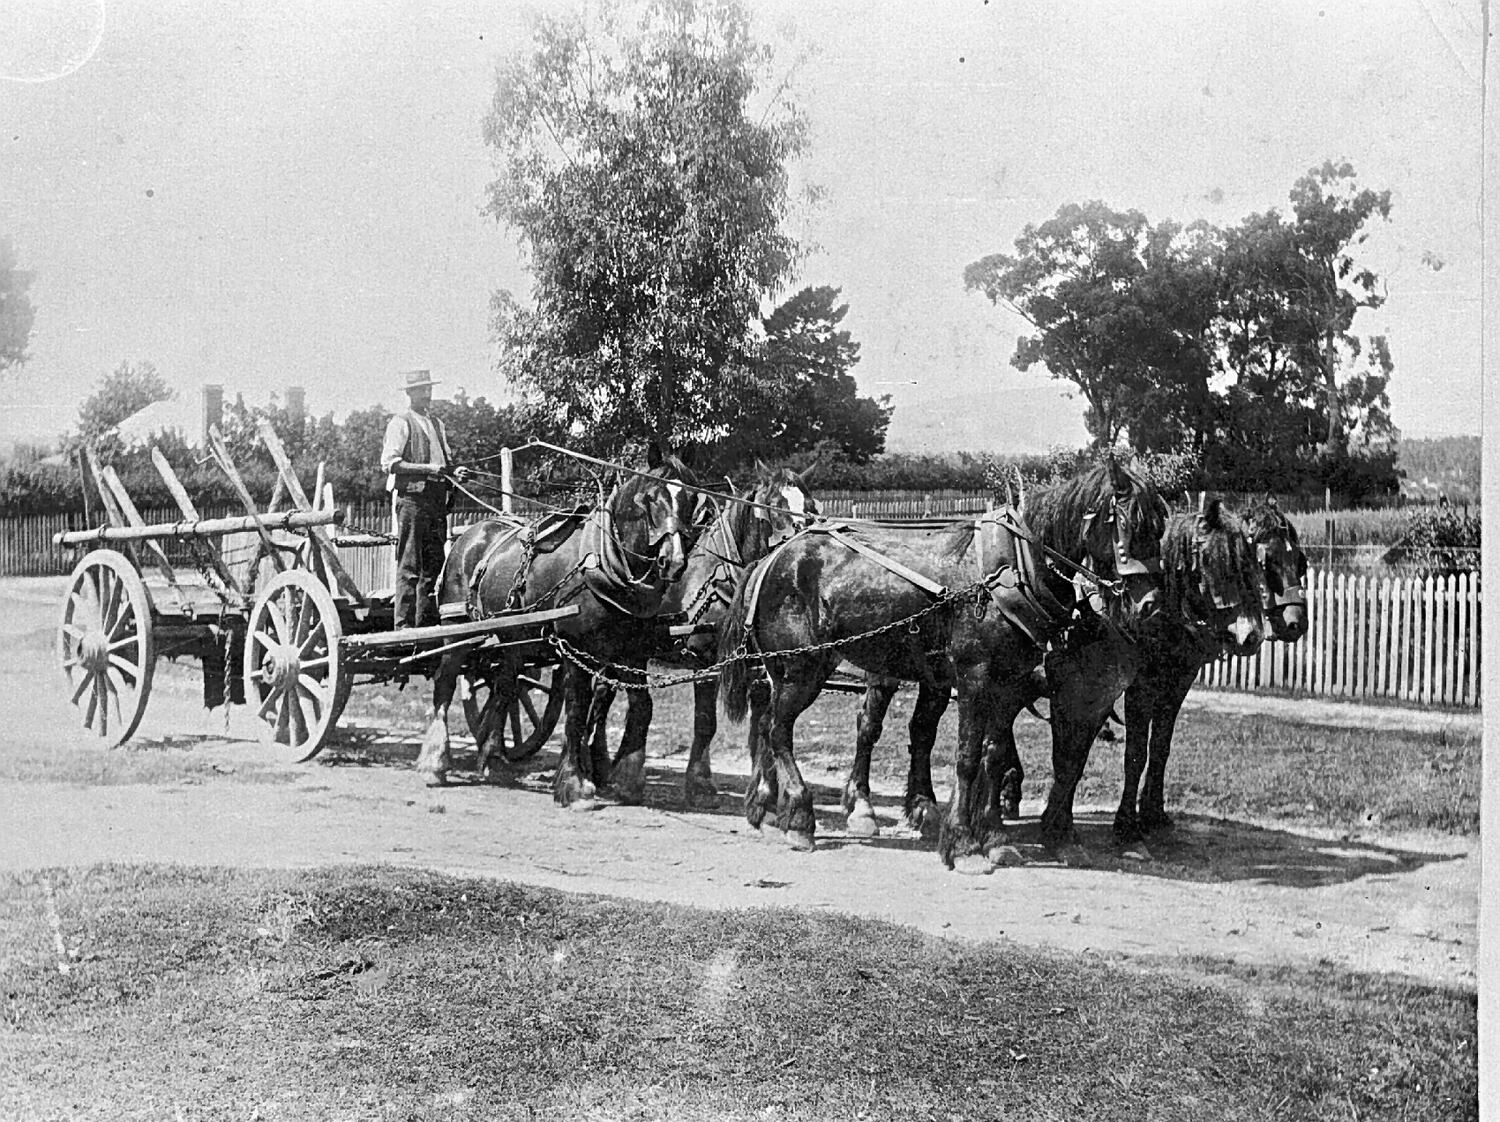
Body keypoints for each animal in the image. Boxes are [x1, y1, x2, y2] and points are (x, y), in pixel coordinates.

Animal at [420, 456, 699, 804]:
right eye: (650, 498)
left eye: (692, 498)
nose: (673, 562)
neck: (604, 562)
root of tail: (470, 535)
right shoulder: (575, 646)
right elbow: (577, 710)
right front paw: (574, 783)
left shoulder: (631, 652)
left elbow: (641, 707)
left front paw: (627, 779)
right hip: (457, 628)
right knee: (445, 683)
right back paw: (435, 763)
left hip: (513, 639)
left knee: (505, 687)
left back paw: (493, 758)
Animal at [717, 459, 1170, 870]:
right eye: (1127, 523)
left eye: (1159, 527)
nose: (1150, 605)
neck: (1013, 568)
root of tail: (772, 558)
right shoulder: (976, 677)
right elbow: (969, 758)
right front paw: (965, 844)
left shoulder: (1010, 683)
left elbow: (995, 755)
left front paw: (995, 838)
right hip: (801, 667)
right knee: (779, 730)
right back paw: (800, 817)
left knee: (769, 723)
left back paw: (770, 808)